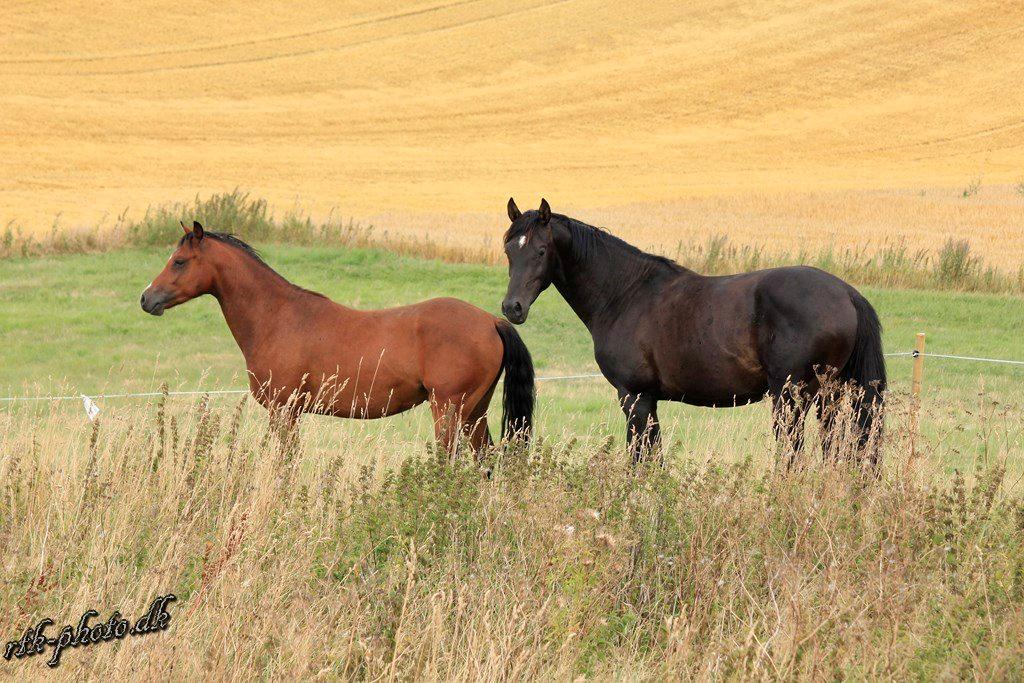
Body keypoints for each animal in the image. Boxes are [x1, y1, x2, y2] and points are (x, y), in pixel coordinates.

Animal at [140, 221, 534, 455]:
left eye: (179, 261)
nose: (147, 298)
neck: (278, 316)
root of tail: (491, 321)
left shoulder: (285, 412)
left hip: (450, 410)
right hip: (474, 413)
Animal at [499, 198, 886, 466]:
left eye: (541, 250)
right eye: (508, 250)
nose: (512, 308)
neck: (626, 293)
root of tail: (846, 293)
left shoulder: (634, 397)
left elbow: (640, 461)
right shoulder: (650, 401)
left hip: (791, 397)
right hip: (830, 397)